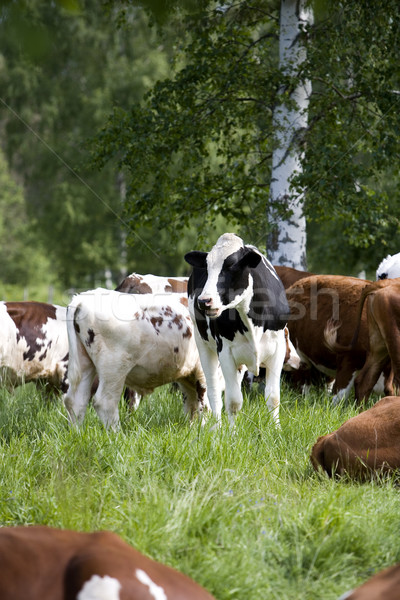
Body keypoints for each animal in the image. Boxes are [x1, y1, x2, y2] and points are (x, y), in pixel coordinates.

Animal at [64, 288, 208, 428]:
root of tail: (82, 298)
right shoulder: (203, 368)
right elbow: (206, 401)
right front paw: (206, 429)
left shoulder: (187, 374)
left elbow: (191, 404)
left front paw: (191, 428)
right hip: (114, 367)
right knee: (105, 402)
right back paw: (116, 433)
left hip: (85, 363)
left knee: (75, 401)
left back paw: (77, 432)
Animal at [184, 232, 290, 424]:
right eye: (207, 268)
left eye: (231, 266)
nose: (203, 300)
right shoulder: (225, 351)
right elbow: (233, 401)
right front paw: (231, 432)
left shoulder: (278, 348)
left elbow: (273, 397)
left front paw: (276, 428)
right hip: (202, 343)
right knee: (213, 390)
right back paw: (216, 426)